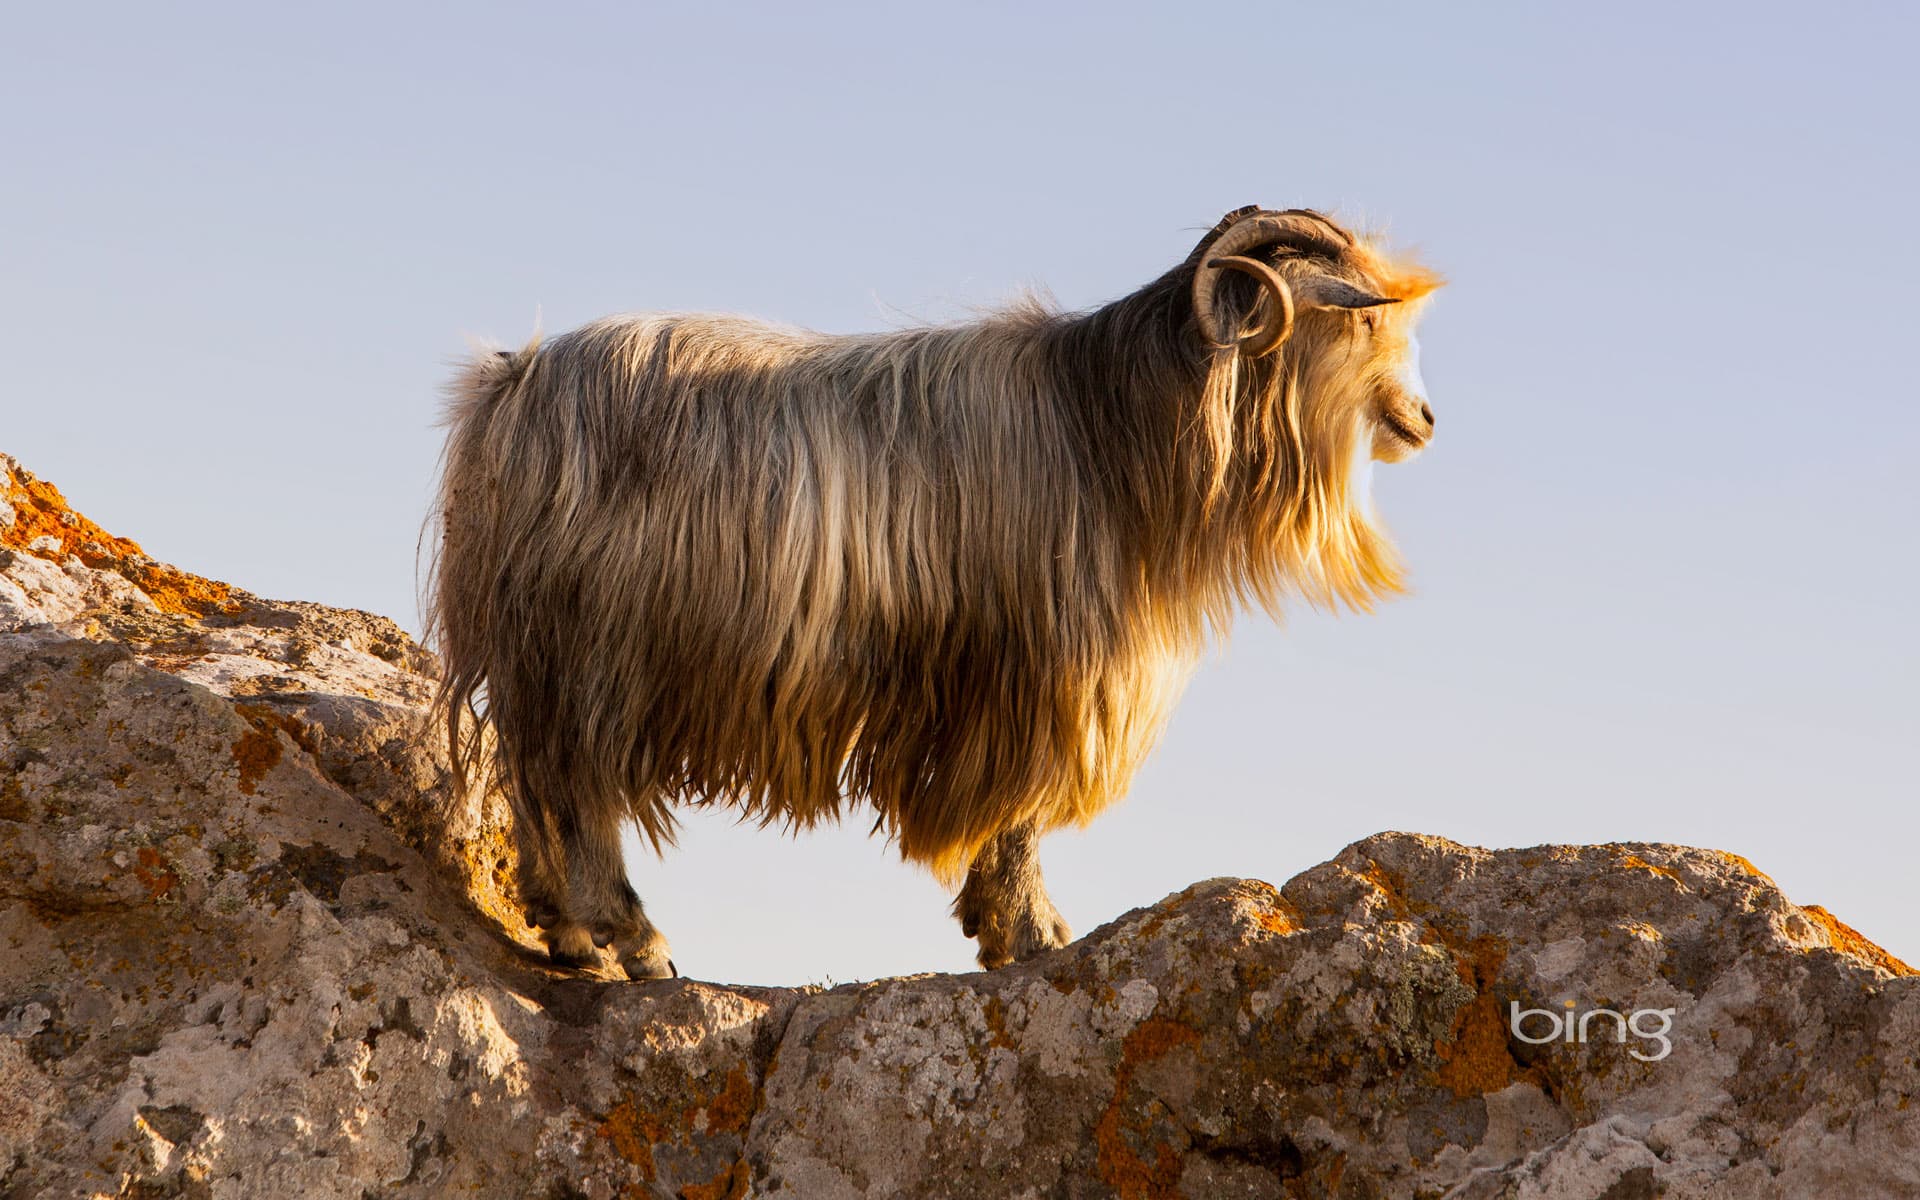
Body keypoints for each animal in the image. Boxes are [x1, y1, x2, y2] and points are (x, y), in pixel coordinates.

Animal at [428, 206, 1441, 977]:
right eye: (1360, 319)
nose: (1424, 420)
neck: (1110, 428)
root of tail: (509, 388)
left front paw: (1001, 930)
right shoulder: (1032, 679)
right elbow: (1017, 821)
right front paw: (1032, 935)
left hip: (547, 656)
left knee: (534, 778)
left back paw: (565, 932)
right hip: (600, 653)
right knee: (579, 792)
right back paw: (632, 942)